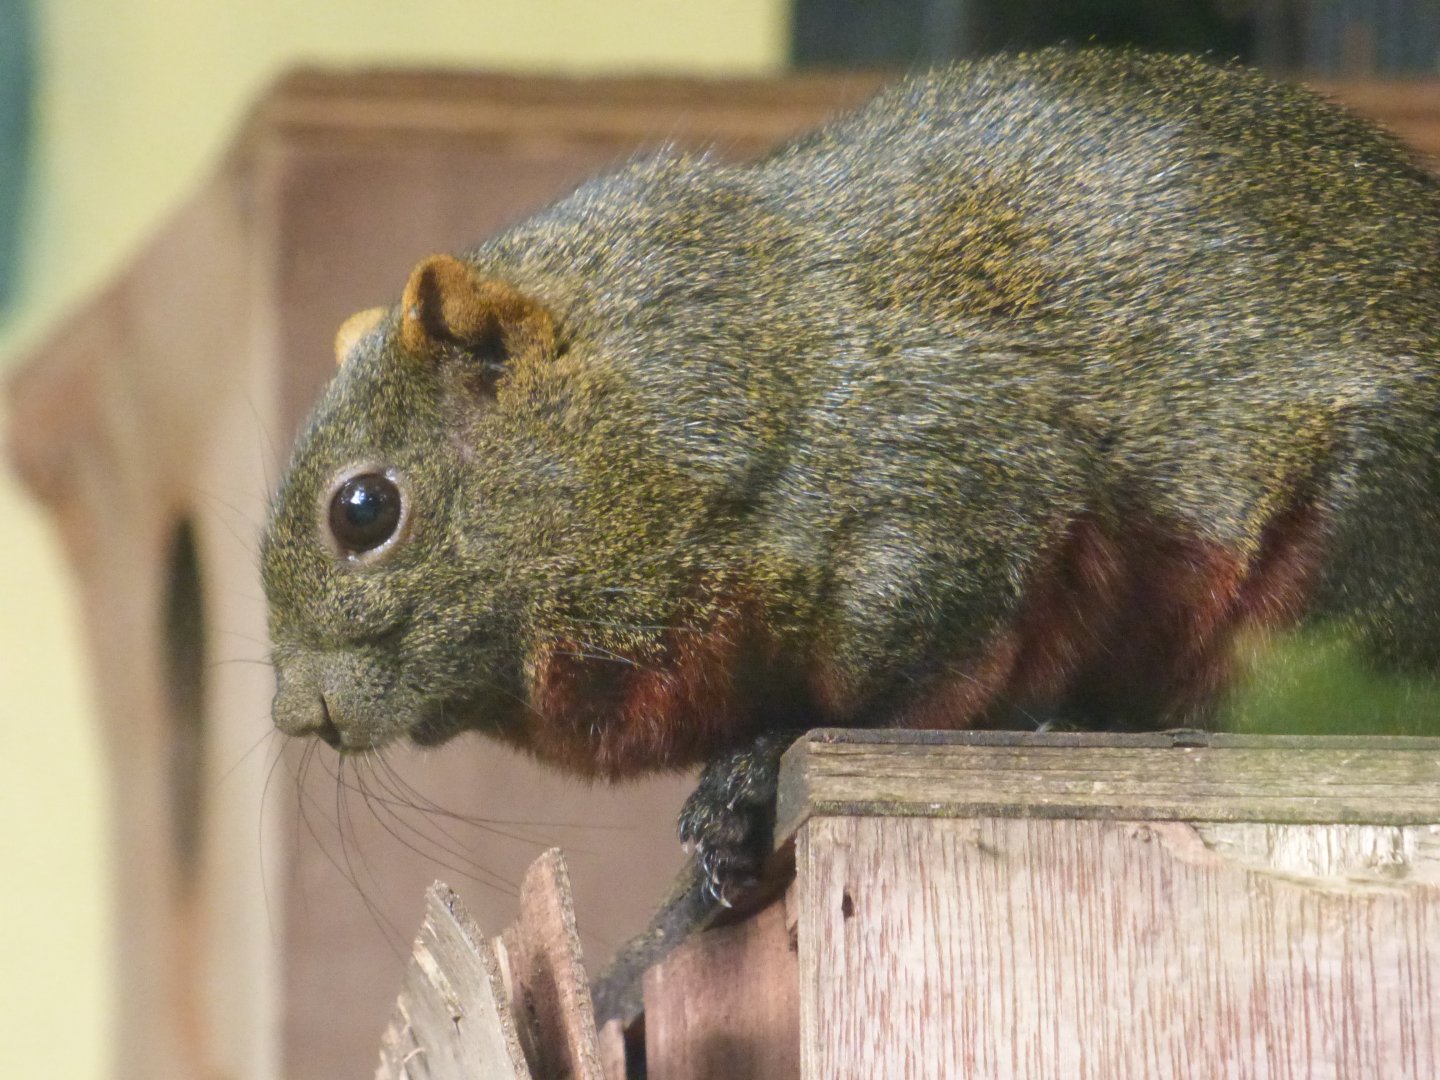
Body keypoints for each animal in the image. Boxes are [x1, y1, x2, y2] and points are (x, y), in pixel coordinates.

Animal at [262, 47, 1440, 909]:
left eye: (364, 510)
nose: (295, 713)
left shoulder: (951, 500)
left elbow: (915, 692)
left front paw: (756, 768)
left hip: (1357, 540)